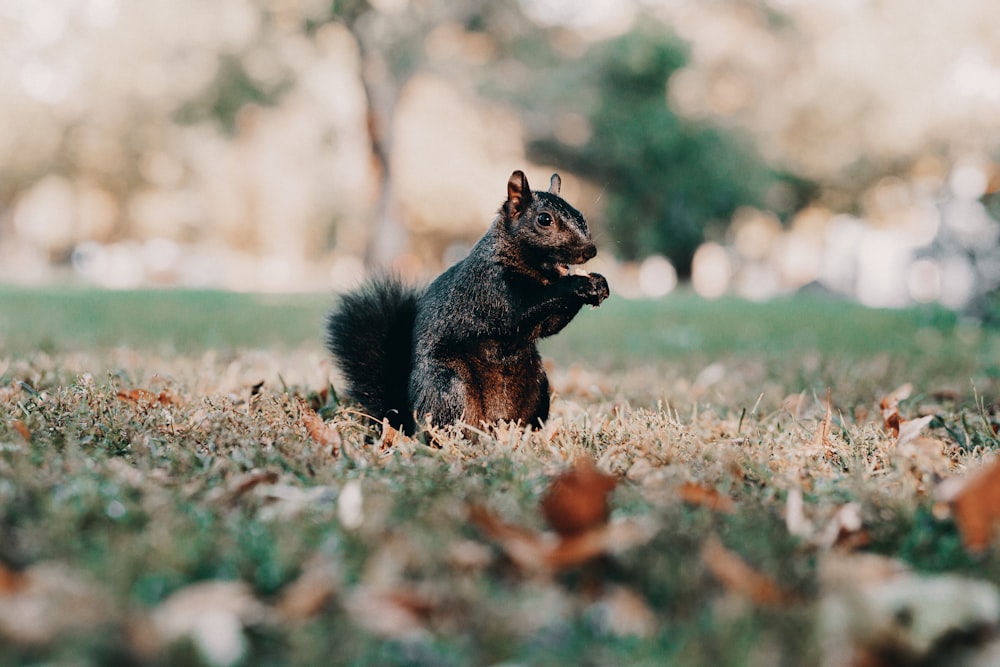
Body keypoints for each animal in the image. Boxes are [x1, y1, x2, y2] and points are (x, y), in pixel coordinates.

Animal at [328, 171, 608, 434]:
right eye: (544, 219)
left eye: (580, 215)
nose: (590, 251)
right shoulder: (489, 289)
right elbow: (519, 312)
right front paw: (578, 284)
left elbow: (549, 326)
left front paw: (599, 283)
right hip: (449, 383)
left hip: (538, 384)